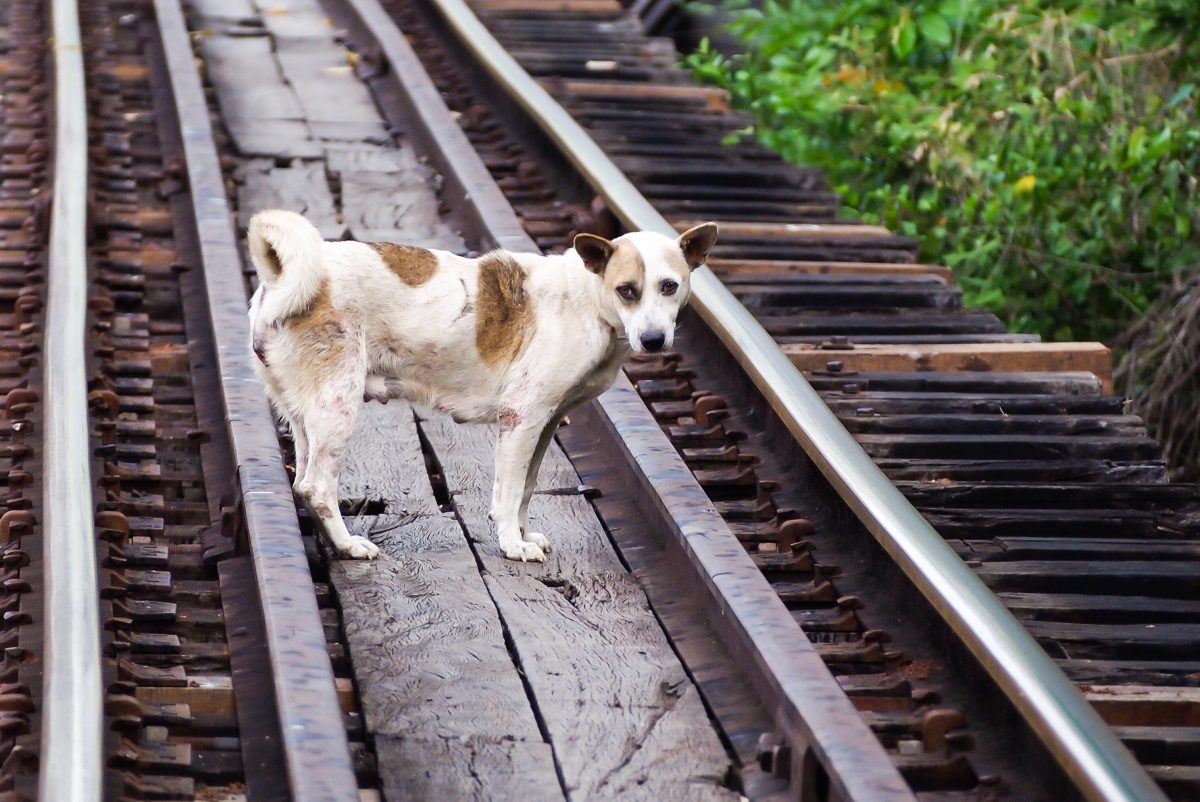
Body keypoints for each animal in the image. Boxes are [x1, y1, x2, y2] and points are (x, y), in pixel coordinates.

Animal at [243, 211, 710, 564]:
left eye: (669, 286)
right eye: (627, 290)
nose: (654, 340)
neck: (588, 301)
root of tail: (282, 278)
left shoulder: (546, 423)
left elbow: (526, 488)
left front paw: (524, 535)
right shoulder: (521, 418)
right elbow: (509, 491)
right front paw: (513, 545)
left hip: (308, 416)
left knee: (303, 482)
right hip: (338, 407)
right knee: (316, 486)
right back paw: (348, 545)